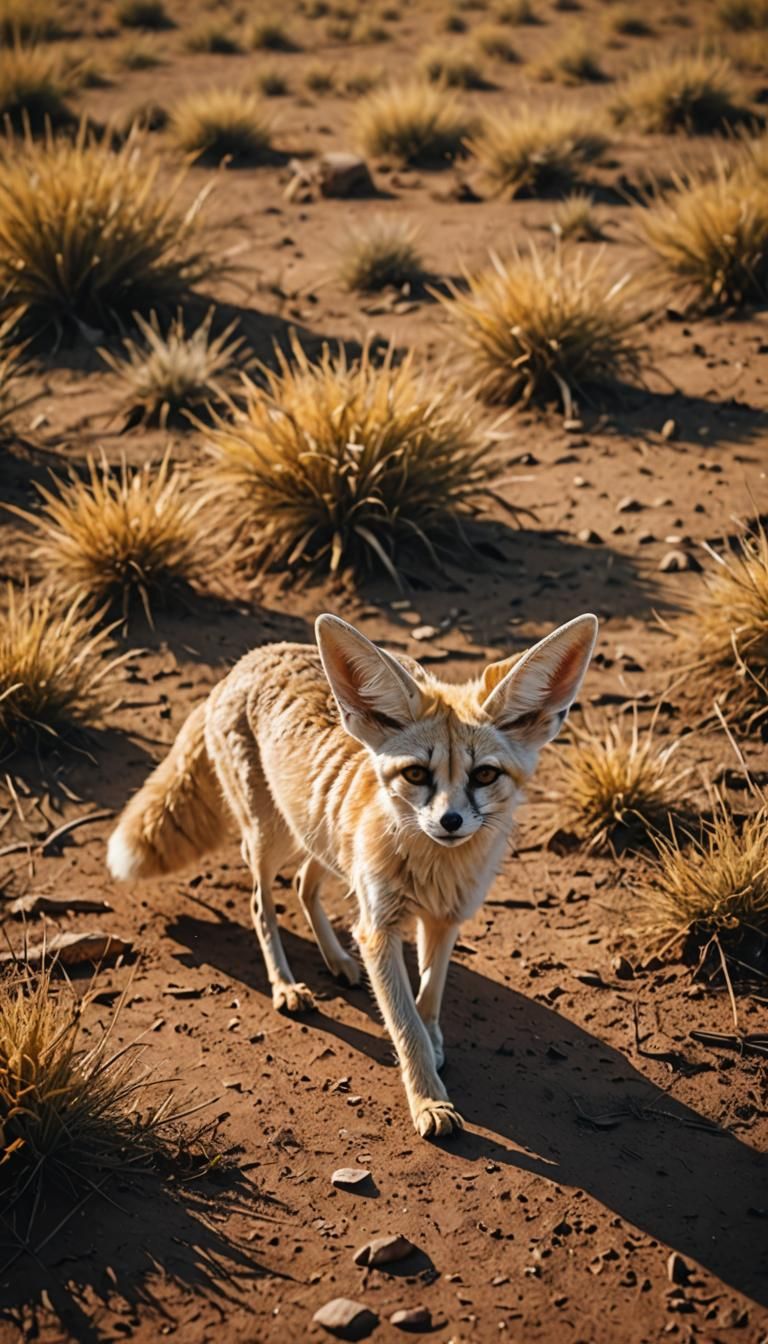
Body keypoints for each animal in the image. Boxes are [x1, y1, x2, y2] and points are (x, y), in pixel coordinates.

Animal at [107, 611, 597, 1138]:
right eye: (416, 774)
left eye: (484, 775)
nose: (450, 822)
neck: (435, 870)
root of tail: (246, 661)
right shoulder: (379, 928)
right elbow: (404, 1024)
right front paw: (428, 1100)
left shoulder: (445, 919)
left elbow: (429, 997)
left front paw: (434, 1045)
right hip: (272, 837)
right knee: (262, 904)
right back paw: (285, 986)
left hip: (320, 838)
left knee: (303, 884)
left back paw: (338, 960)